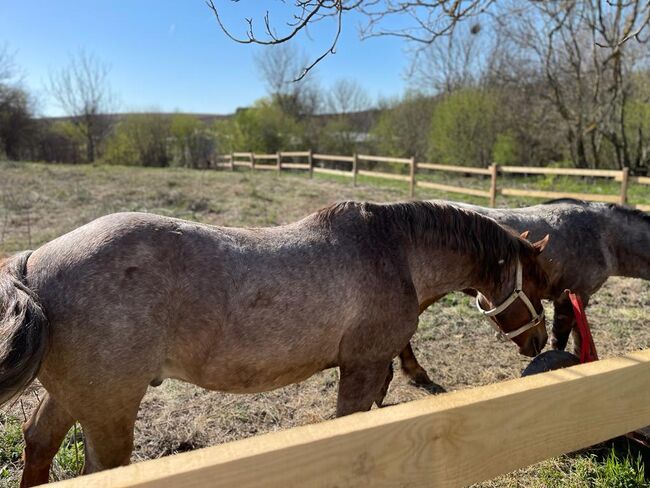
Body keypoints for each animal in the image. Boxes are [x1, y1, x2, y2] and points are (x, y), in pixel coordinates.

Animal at [0, 201, 548, 484]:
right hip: (109, 412)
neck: (394, 253)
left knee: (39, 440)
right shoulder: (363, 366)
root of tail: (30, 264)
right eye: (539, 282)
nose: (540, 341)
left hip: (79, 399)